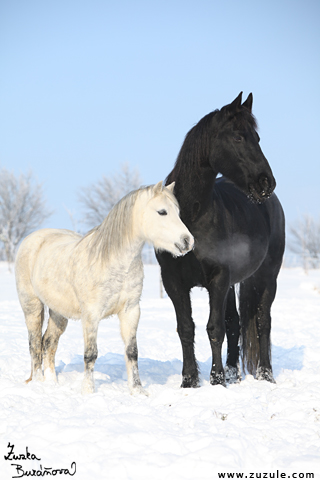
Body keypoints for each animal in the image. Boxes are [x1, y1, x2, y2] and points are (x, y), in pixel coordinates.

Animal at [15, 182, 194, 396]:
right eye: (162, 212)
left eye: (178, 212)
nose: (188, 241)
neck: (113, 263)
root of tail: (32, 239)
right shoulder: (91, 315)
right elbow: (90, 354)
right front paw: (88, 390)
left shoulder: (130, 311)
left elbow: (132, 351)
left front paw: (137, 390)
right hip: (32, 306)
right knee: (34, 344)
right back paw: (39, 382)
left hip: (59, 312)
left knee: (49, 343)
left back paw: (52, 383)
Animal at [157, 93, 284, 386]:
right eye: (238, 137)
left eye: (257, 137)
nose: (266, 182)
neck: (192, 216)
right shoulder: (173, 281)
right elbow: (186, 328)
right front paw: (190, 380)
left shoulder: (218, 277)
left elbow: (214, 328)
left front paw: (216, 380)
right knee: (236, 323)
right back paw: (234, 373)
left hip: (266, 277)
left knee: (262, 322)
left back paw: (265, 375)